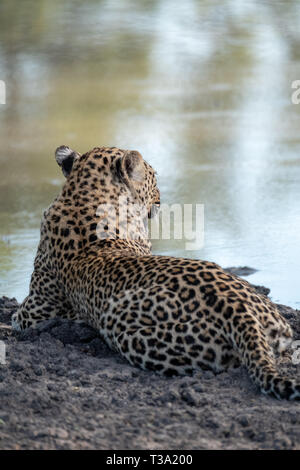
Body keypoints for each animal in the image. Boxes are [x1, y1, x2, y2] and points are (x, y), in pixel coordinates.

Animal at [11, 144, 300, 400]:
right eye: (153, 177)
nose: (161, 199)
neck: (82, 196)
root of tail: (239, 309)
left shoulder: (39, 306)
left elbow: (16, 316)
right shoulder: (38, 306)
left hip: (122, 328)